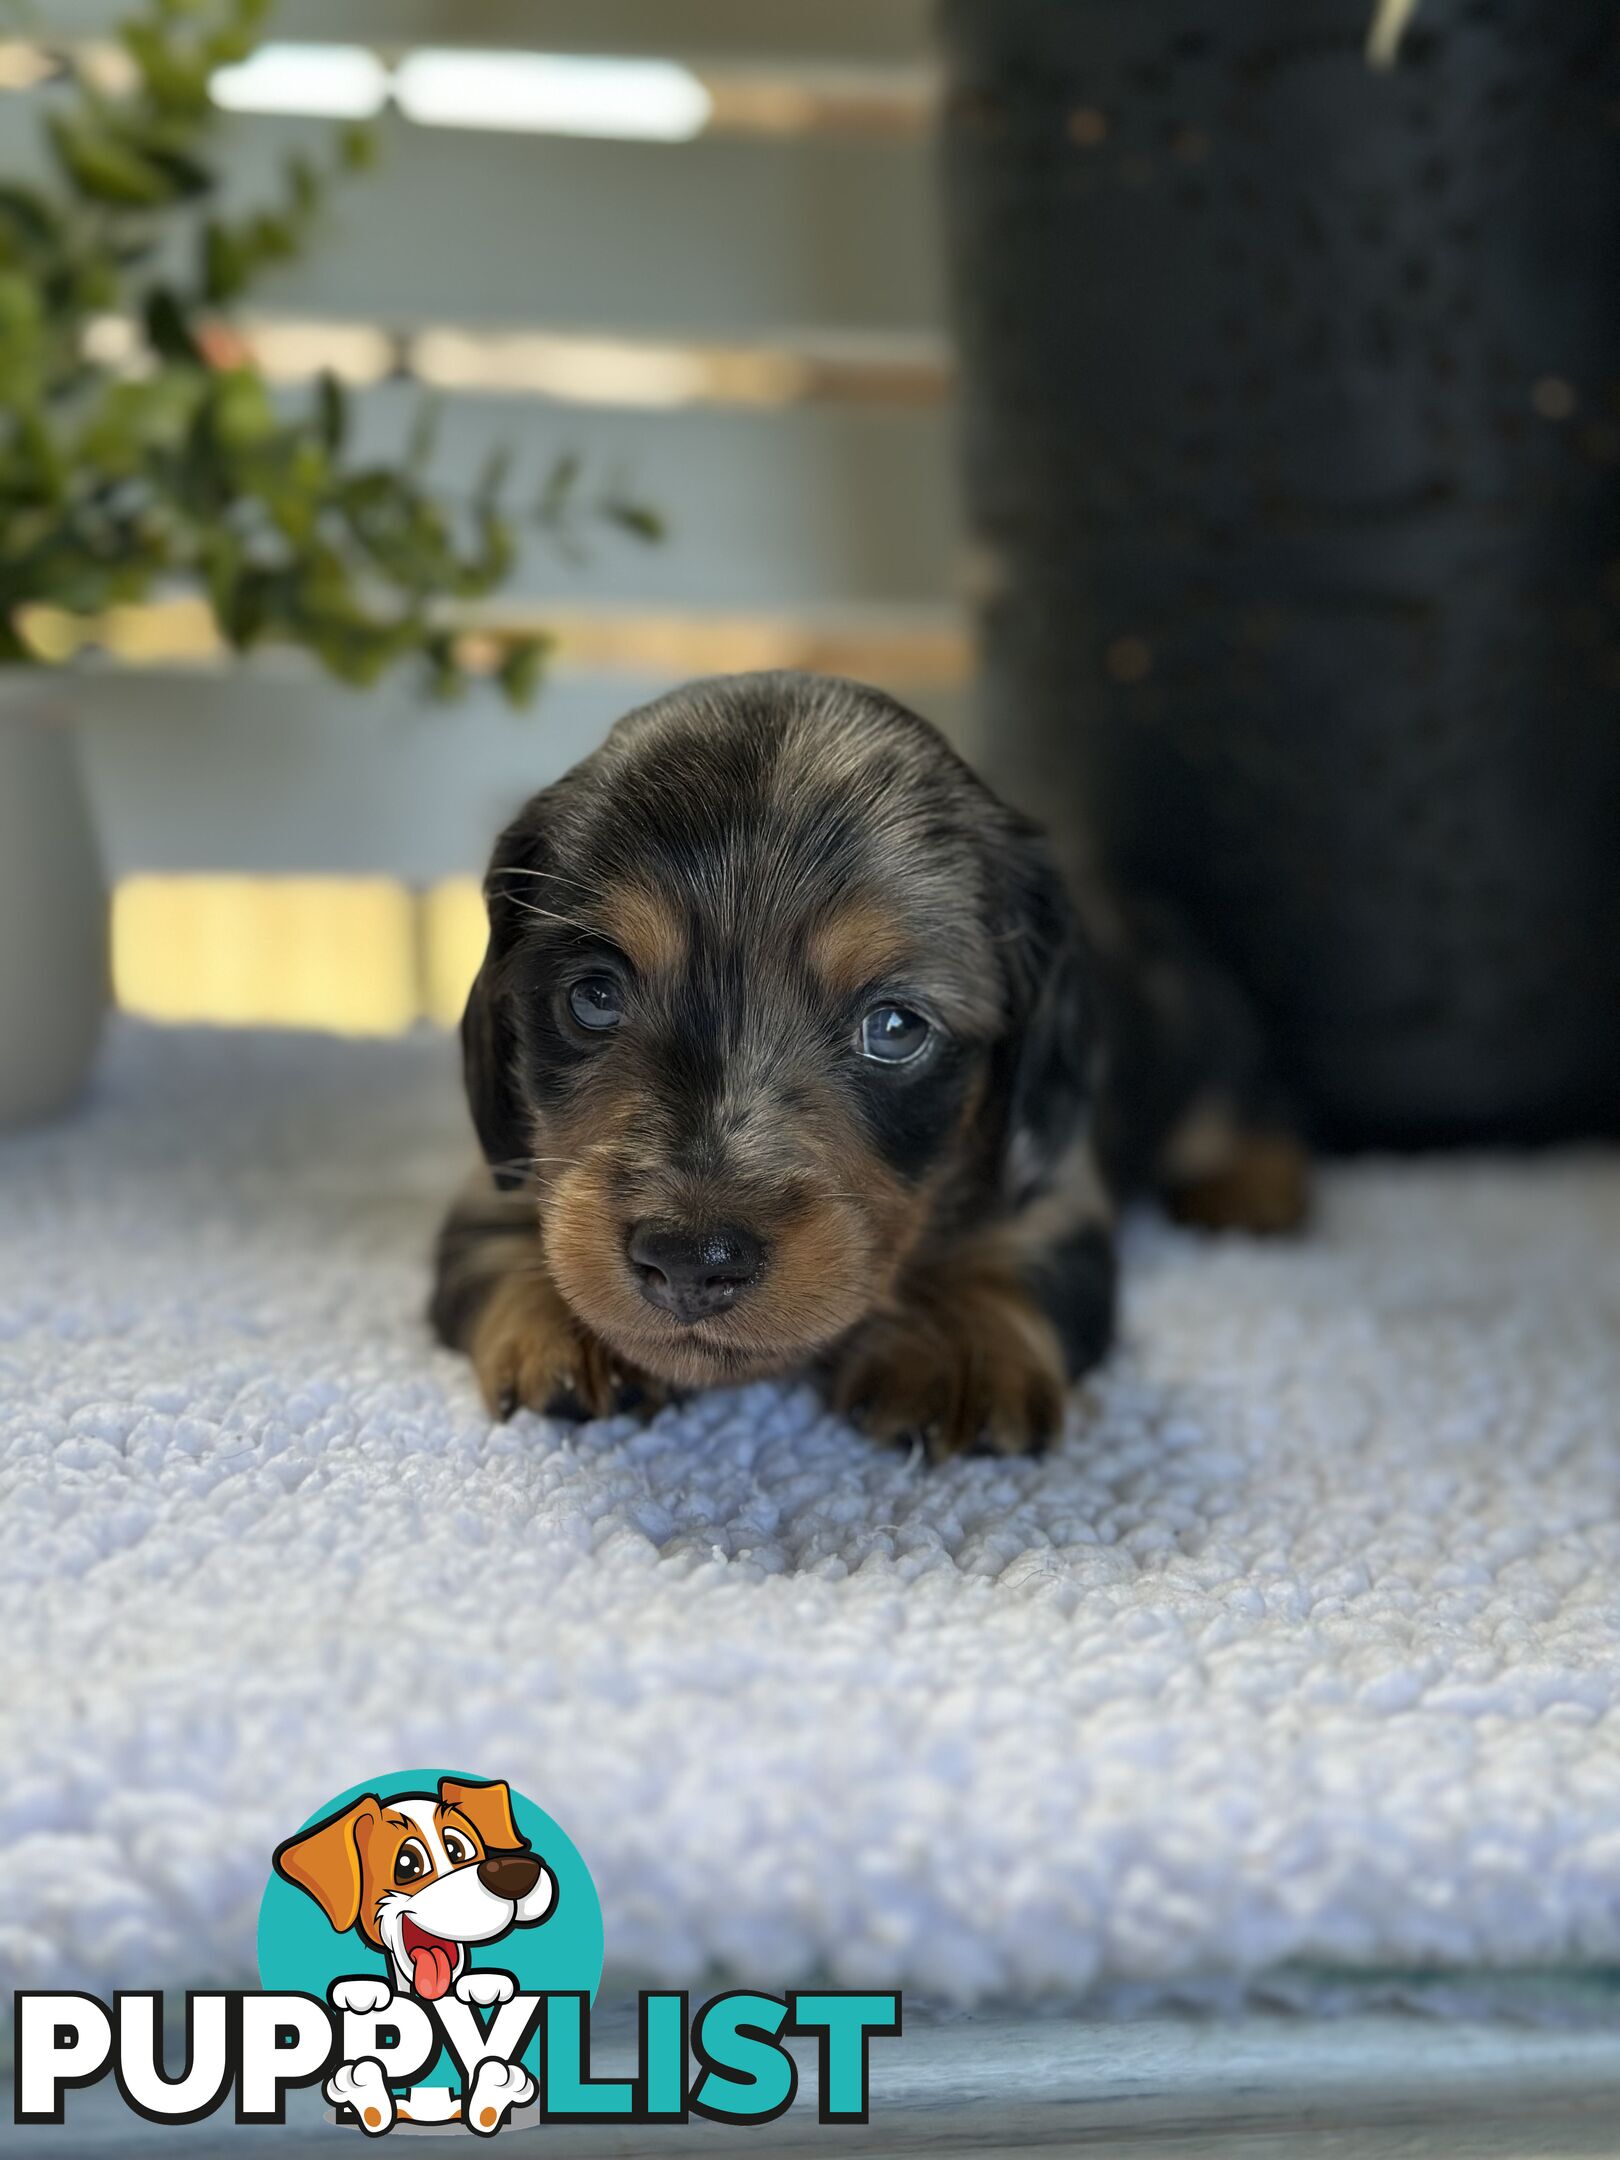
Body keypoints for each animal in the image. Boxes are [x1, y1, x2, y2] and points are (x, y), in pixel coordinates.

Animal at [427, 665, 1304, 1460]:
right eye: (595, 996)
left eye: (894, 1026)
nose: (690, 1263)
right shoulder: (506, 1164)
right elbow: (505, 1235)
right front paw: (567, 1330)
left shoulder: (1054, 1183)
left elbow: (1015, 1252)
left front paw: (959, 1347)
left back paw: (1257, 1191)